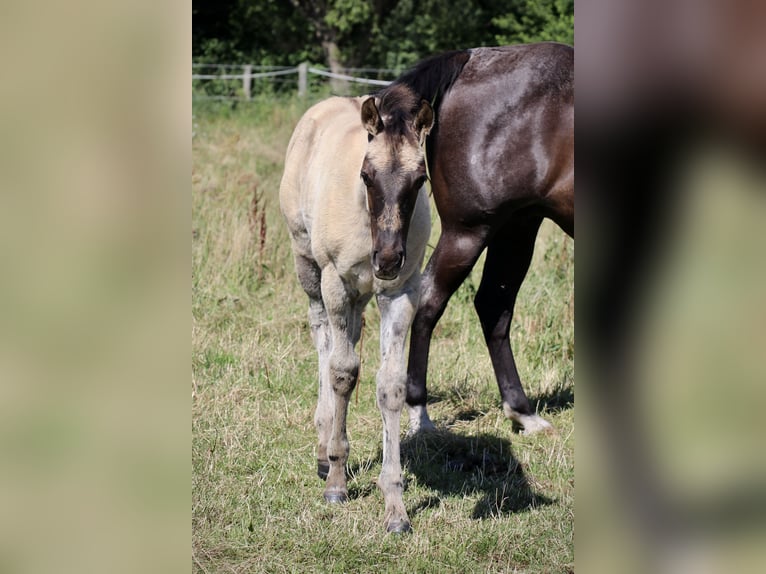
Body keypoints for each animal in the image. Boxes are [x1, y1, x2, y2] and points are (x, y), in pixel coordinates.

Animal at [280, 90, 438, 536]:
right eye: (366, 175)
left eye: (420, 180)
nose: (387, 258)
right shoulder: (335, 280)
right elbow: (342, 373)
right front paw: (335, 479)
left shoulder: (401, 292)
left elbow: (391, 386)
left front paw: (396, 508)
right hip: (308, 265)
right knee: (323, 340)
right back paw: (322, 445)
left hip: (363, 293)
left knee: (348, 335)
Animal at [376, 42, 572, 434]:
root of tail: (469, 59)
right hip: (469, 231)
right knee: (431, 299)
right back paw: (419, 412)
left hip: (517, 226)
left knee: (493, 305)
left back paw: (522, 411)